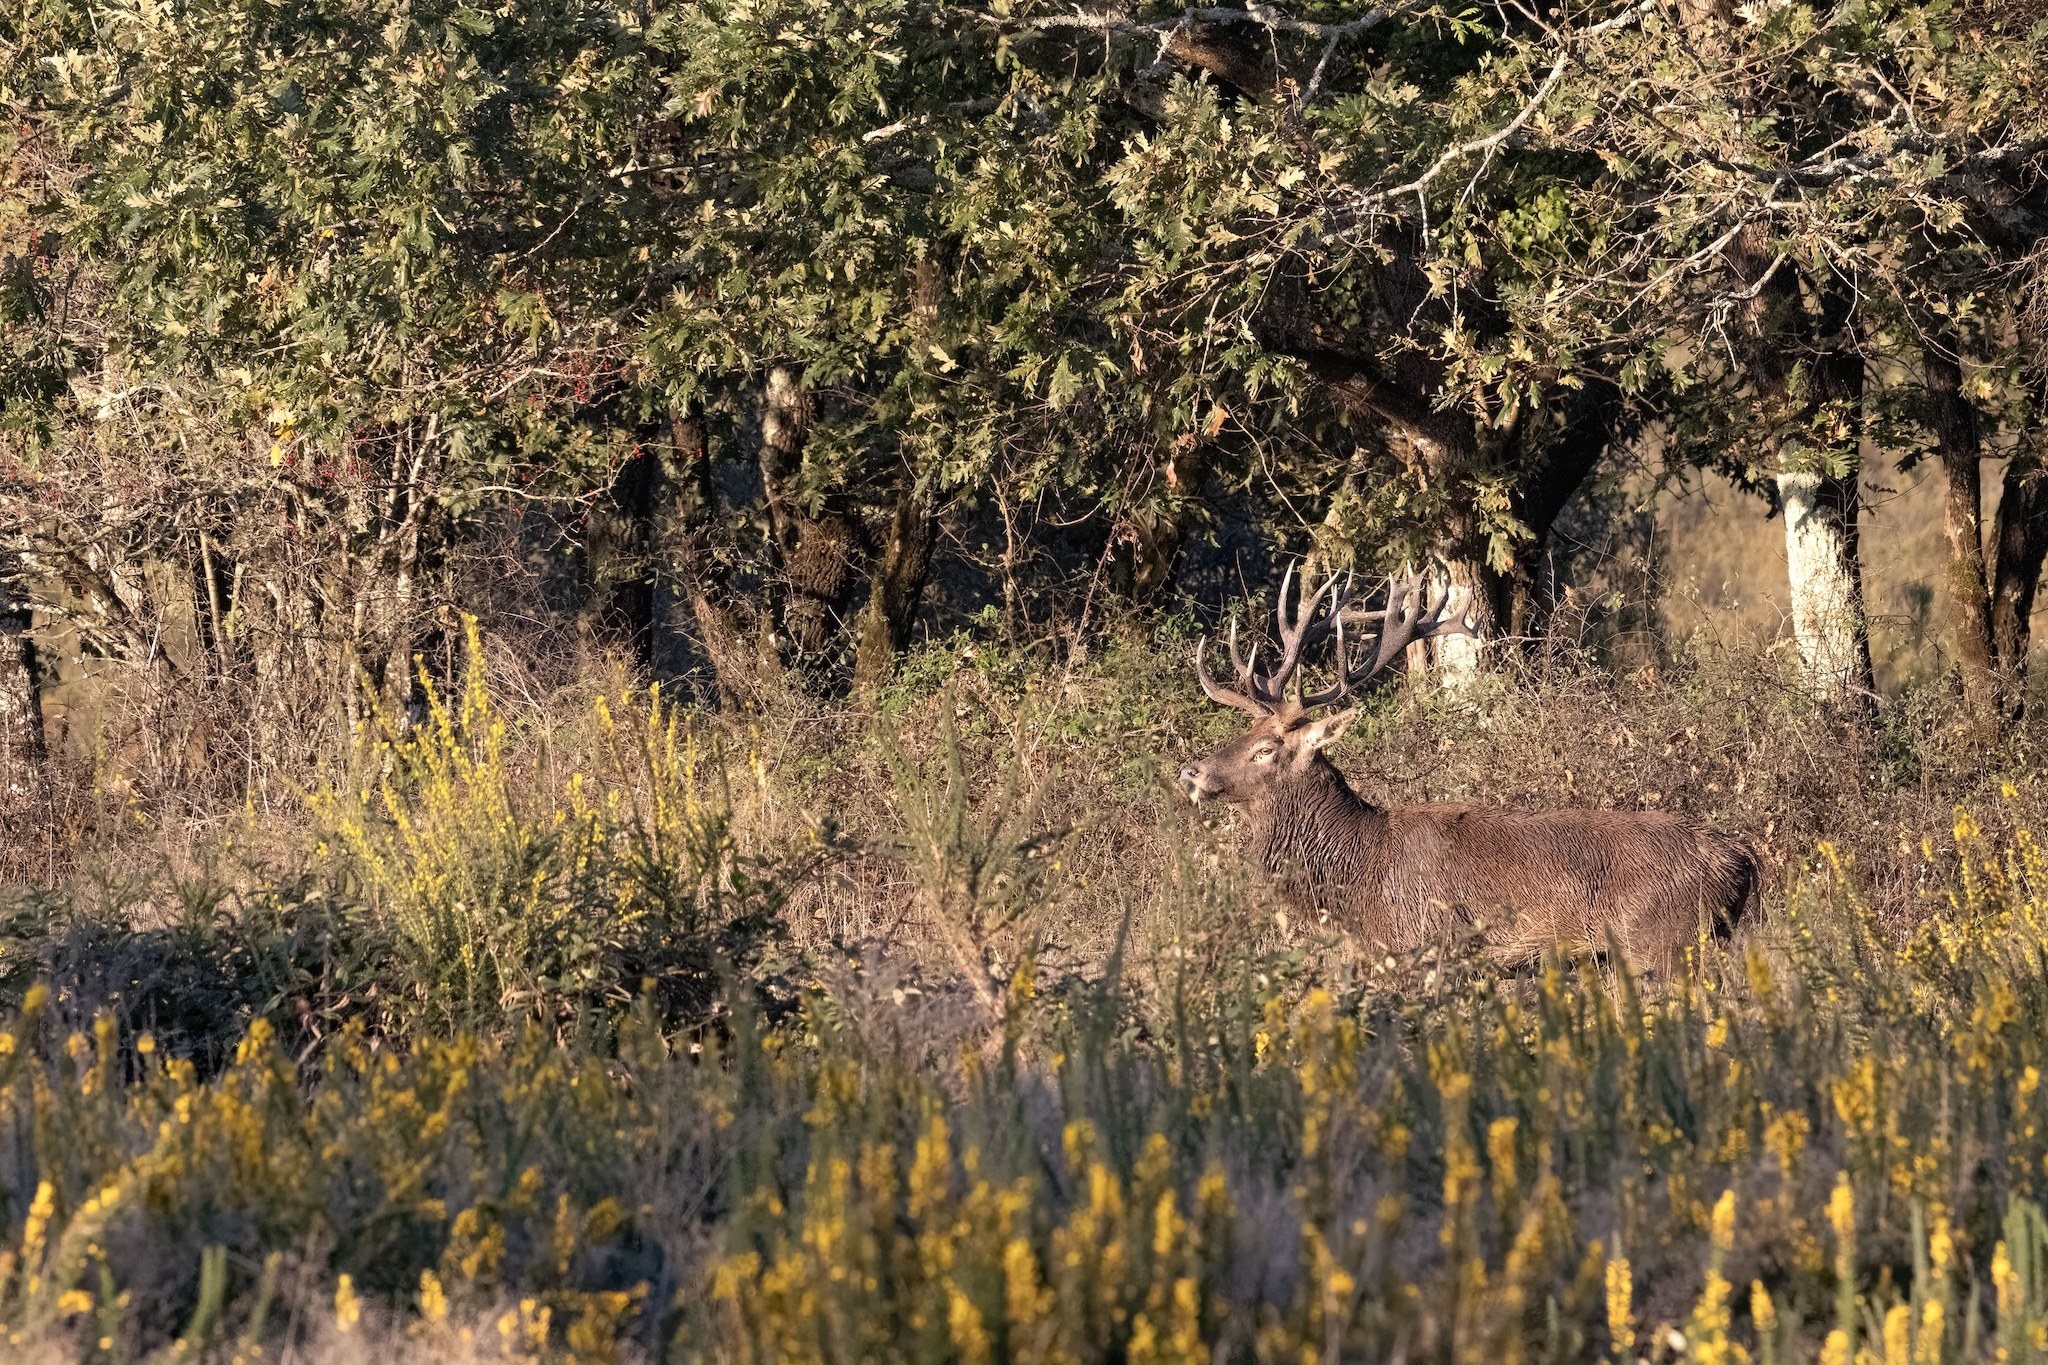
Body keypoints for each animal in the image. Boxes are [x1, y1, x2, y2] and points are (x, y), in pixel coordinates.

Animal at [1176, 566, 1757, 975]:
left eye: (1266, 749)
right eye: (1246, 733)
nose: (1191, 772)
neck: (1354, 878)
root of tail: (1742, 861)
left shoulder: (1425, 943)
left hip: (1663, 942)